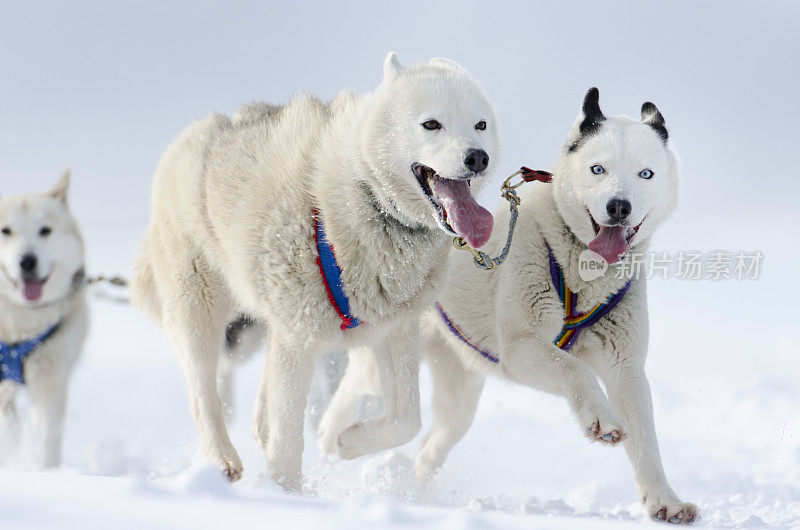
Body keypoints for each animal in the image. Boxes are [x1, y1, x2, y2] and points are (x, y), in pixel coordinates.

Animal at [0, 170, 88, 466]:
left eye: (45, 230)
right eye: (6, 231)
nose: (27, 261)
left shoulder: (50, 379)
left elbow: (47, 439)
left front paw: (46, 472)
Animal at [130, 51, 500, 484]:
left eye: (480, 125)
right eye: (431, 124)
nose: (477, 157)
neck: (370, 201)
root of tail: (195, 132)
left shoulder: (392, 329)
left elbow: (407, 420)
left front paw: (350, 442)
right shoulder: (301, 334)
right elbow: (289, 439)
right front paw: (284, 490)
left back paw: (262, 425)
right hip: (200, 304)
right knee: (203, 389)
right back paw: (221, 458)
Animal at [318, 88, 692, 520]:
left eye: (645, 174)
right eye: (598, 169)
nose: (619, 206)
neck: (581, 274)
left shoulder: (624, 367)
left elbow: (646, 440)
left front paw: (665, 501)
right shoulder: (522, 349)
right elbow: (575, 368)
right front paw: (600, 417)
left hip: (460, 394)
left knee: (432, 445)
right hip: (386, 360)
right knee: (352, 393)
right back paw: (335, 440)